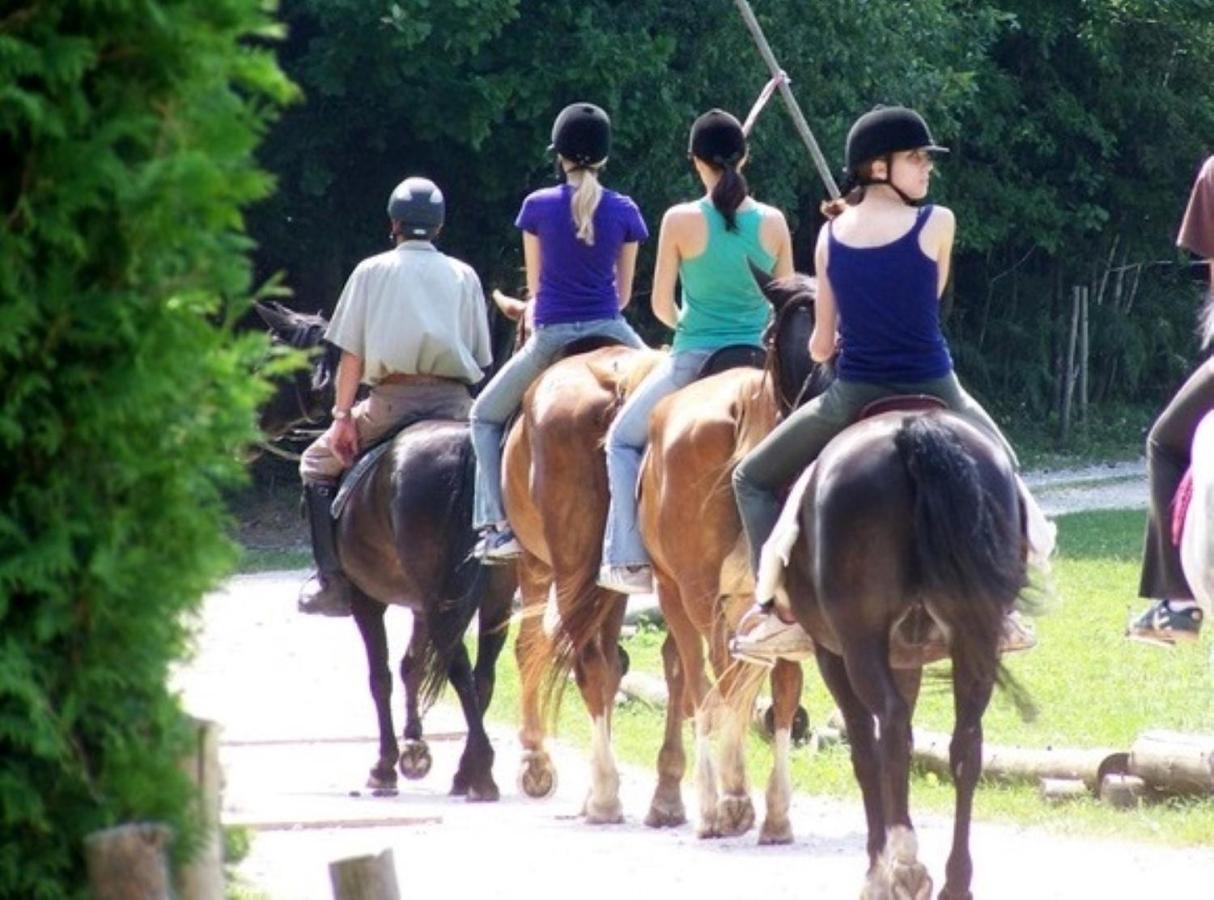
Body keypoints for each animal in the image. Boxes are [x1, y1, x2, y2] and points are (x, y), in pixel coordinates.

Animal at [636, 270, 825, 840]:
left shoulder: (685, 592)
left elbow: (710, 679)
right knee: (728, 681)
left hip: (693, 593)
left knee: (711, 680)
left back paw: (728, 797)